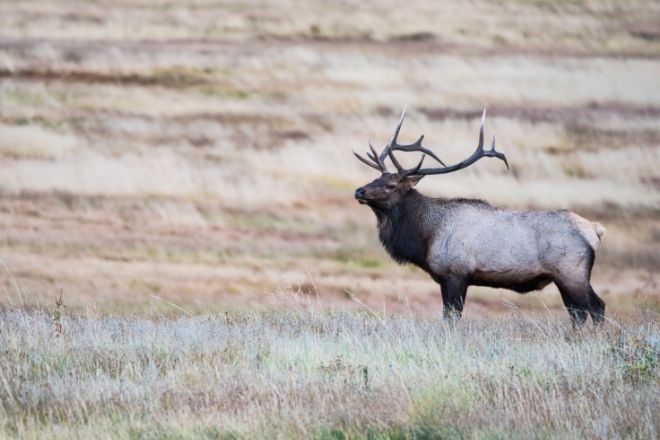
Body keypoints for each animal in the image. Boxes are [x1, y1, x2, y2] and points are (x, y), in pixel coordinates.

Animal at [354, 108, 604, 324]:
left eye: (391, 185)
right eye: (376, 178)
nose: (359, 191)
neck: (427, 237)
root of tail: (595, 230)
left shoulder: (456, 273)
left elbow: (451, 317)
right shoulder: (445, 279)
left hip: (573, 272)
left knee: (596, 307)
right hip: (564, 278)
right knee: (577, 313)